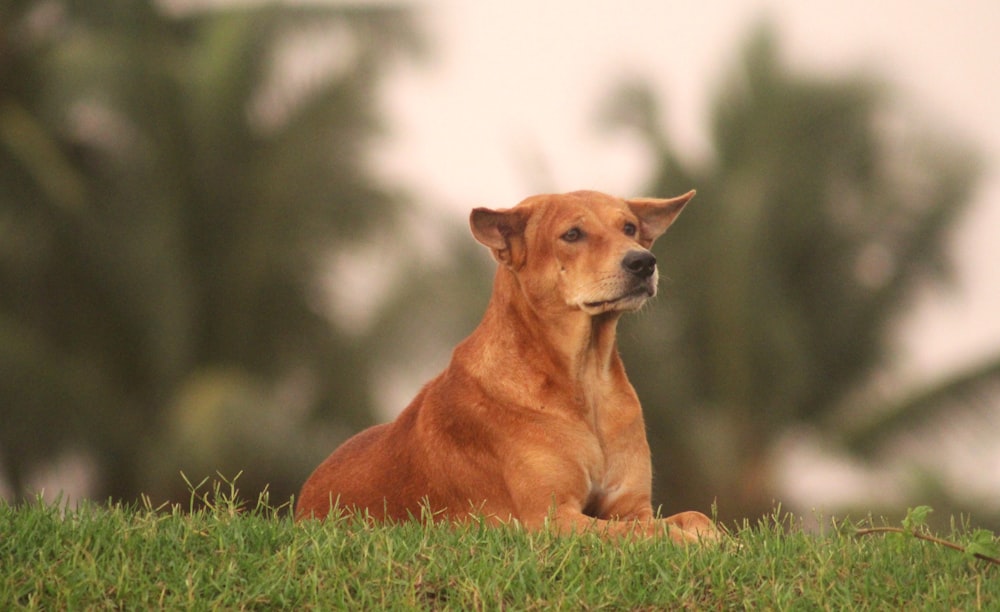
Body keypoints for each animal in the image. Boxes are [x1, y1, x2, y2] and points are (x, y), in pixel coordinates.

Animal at [292, 190, 716, 540]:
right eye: (573, 234)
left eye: (629, 228)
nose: (644, 261)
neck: (585, 380)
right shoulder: (550, 517)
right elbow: (647, 533)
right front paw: (693, 543)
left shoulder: (630, 506)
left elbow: (694, 517)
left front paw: (717, 539)